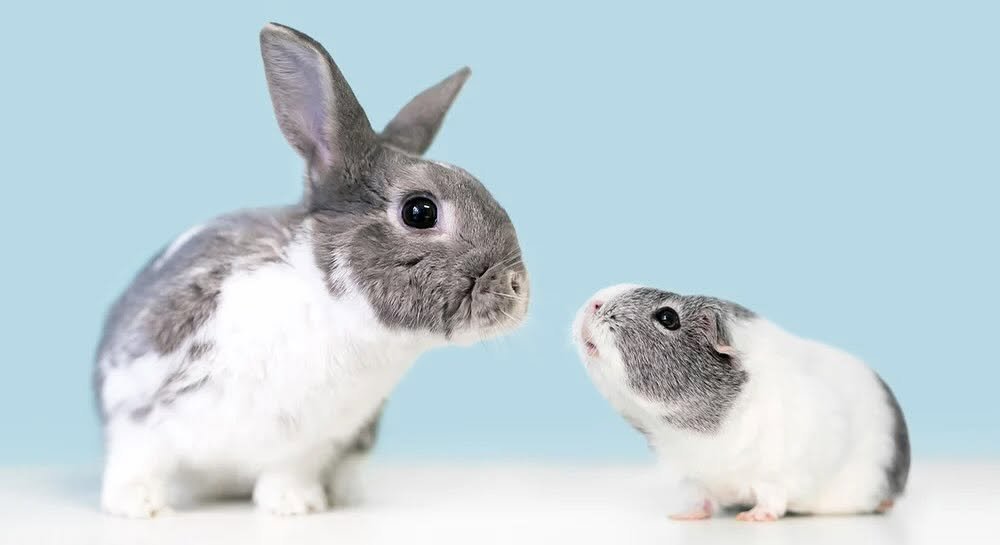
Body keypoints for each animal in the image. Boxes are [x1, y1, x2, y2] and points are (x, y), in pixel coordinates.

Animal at [94, 23, 529, 518]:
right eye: (420, 212)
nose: (518, 289)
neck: (338, 310)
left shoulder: (311, 443)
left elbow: (288, 472)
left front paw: (294, 504)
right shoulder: (137, 408)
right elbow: (137, 458)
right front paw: (136, 505)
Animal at [572, 284, 909, 521]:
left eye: (668, 317)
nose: (593, 303)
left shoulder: (777, 474)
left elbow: (772, 499)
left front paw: (752, 518)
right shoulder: (694, 477)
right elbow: (702, 500)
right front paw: (683, 516)